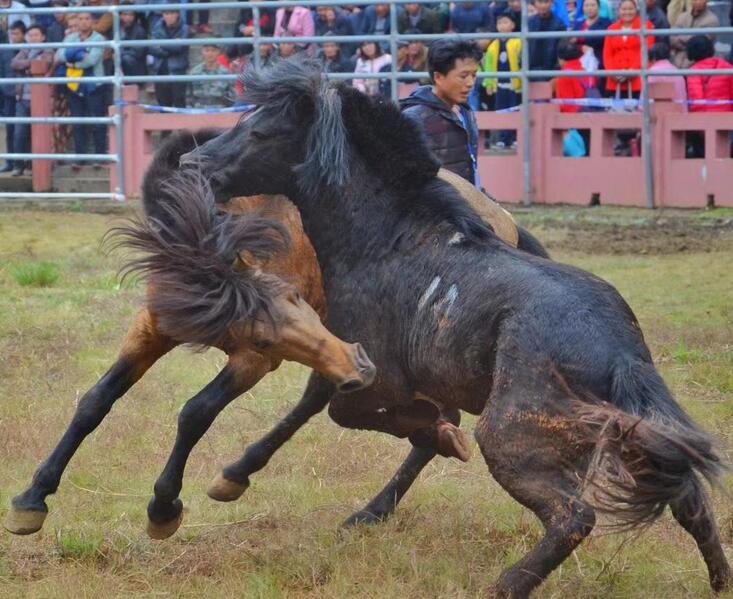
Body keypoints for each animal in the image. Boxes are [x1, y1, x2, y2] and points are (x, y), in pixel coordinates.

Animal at [2, 168, 374, 540]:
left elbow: (196, 412)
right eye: (264, 336)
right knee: (320, 389)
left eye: (295, 295)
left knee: (316, 393)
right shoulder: (151, 329)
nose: (358, 365)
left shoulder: (252, 361)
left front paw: (163, 508)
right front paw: (32, 498)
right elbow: (95, 401)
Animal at [177, 62, 728, 599]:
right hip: (637, 435)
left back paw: (503, 584)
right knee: (689, 499)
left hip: (511, 436)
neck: (388, 240)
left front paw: (439, 435)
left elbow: (355, 413)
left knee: (574, 516)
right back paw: (720, 582)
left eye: (260, 131)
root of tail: (619, 353)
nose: (192, 164)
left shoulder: (375, 375)